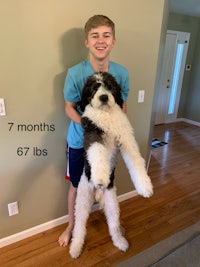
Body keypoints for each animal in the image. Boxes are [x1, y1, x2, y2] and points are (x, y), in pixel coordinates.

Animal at [69, 71, 153, 260]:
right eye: (94, 88)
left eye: (109, 86)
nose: (104, 97)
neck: (106, 114)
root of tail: (98, 194)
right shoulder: (93, 134)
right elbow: (98, 153)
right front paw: (101, 176)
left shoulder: (126, 138)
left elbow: (136, 159)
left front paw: (145, 187)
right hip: (83, 199)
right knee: (79, 226)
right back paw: (75, 247)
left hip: (112, 204)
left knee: (113, 225)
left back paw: (120, 241)